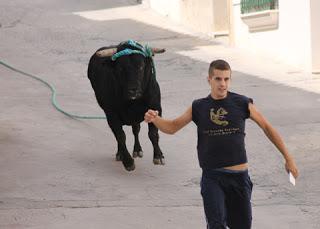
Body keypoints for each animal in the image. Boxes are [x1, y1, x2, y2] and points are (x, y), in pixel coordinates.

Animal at [87, 41, 165, 171]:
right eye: (120, 68)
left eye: (141, 66)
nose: (133, 90)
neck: (133, 103)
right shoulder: (111, 115)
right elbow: (120, 136)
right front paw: (128, 162)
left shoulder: (155, 107)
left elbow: (153, 134)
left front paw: (158, 156)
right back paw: (121, 154)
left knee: (136, 130)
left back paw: (137, 150)